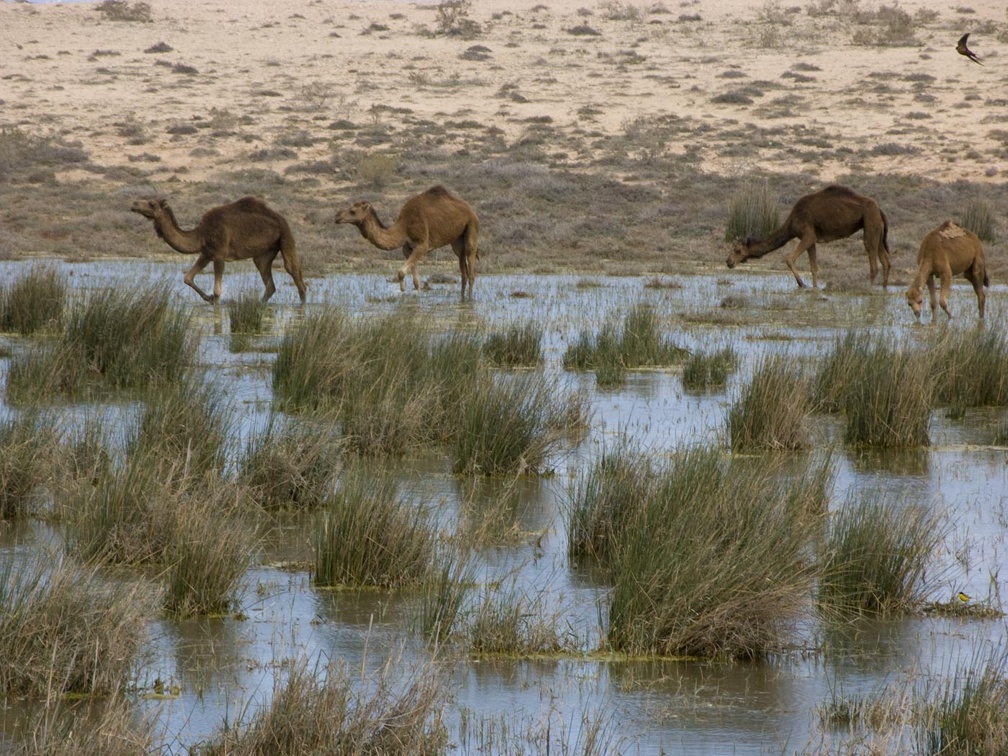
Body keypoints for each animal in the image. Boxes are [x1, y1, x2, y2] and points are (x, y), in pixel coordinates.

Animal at [132, 196, 308, 306]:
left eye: (151, 204)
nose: (134, 204)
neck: (201, 234)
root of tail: (281, 219)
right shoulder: (206, 253)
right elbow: (188, 277)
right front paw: (208, 298)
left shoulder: (219, 254)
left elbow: (217, 291)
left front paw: (213, 302)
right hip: (264, 253)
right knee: (269, 282)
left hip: (285, 236)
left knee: (294, 272)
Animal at [334, 185, 479, 298]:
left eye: (352, 211)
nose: (337, 216)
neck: (403, 227)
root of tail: (470, 210)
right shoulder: (407, 248)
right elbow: (416, 281)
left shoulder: (422, 245)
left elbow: (401, 273)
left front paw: (404, 292)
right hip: (457, 239)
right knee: (463, 269)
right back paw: (462, 297)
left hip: (471, 226)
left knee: (471, 266)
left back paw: (469, 299)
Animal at [725, 185, 891, 288]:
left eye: (737, 250)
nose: (728, 262)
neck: (791, 223)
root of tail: (880, 209)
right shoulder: (813, 239)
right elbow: (814, 268)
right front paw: (814, 288)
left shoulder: (807, 235)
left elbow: (789, 258)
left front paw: (802, 284)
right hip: (876, 227)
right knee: (885, 261)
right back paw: (883, 289)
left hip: (870, 221)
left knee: (873, 263)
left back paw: (868, 289)